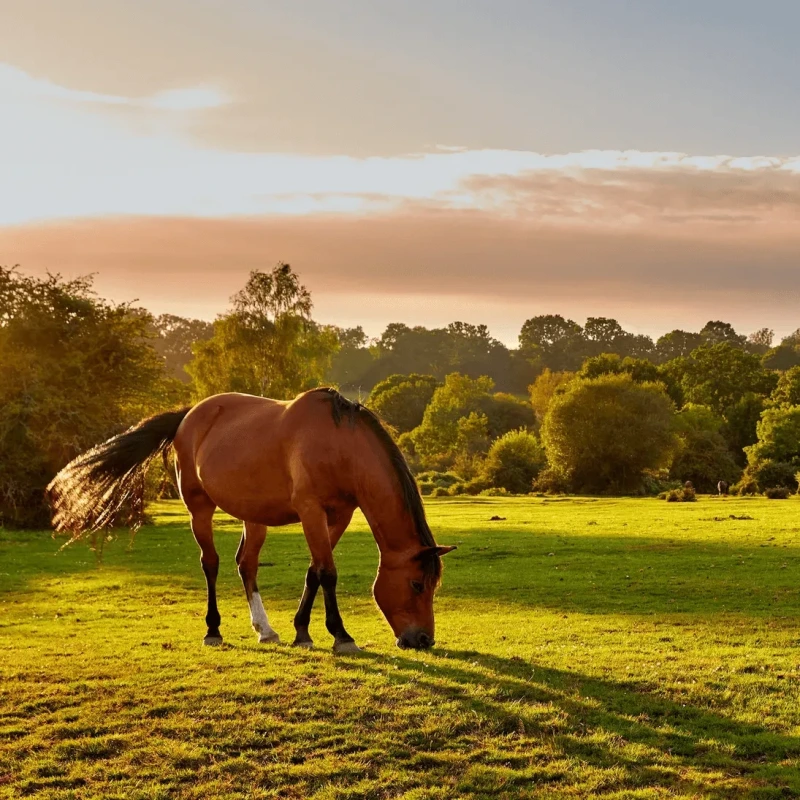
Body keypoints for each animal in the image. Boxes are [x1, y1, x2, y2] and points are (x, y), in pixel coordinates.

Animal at [47, 388, 456, 652]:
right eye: (417, 584)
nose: (423, 640)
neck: (340, 445)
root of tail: (189, 415)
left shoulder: (338, 516)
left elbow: (314, 570)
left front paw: (302, 632)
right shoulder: (311, 512)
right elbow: (327, 572)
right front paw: (341, 636)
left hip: (253, 516)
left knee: (246, 564)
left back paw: (265, 630)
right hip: (199, 508)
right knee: (210, 563)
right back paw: (213, 630)